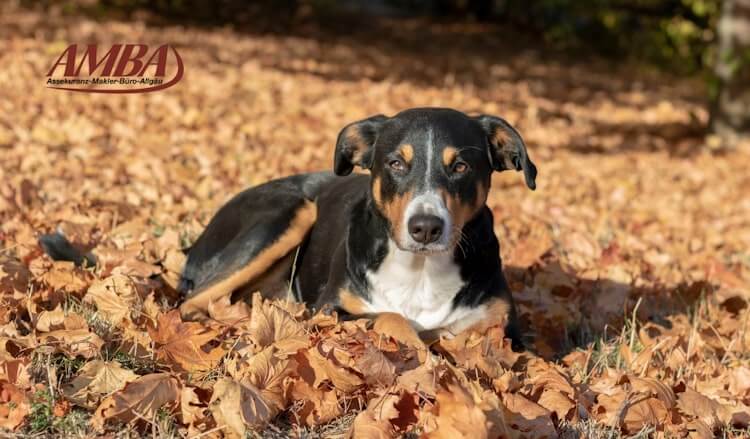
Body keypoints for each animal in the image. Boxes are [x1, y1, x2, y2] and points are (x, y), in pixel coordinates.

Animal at [178, 106, 536, 348]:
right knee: (191, 304)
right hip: (292, 212)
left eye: (461, 167)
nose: (425, 227)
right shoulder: (330, 309)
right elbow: (391, 317)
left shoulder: (505, 329)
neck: (421, 271)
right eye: (396, 163)